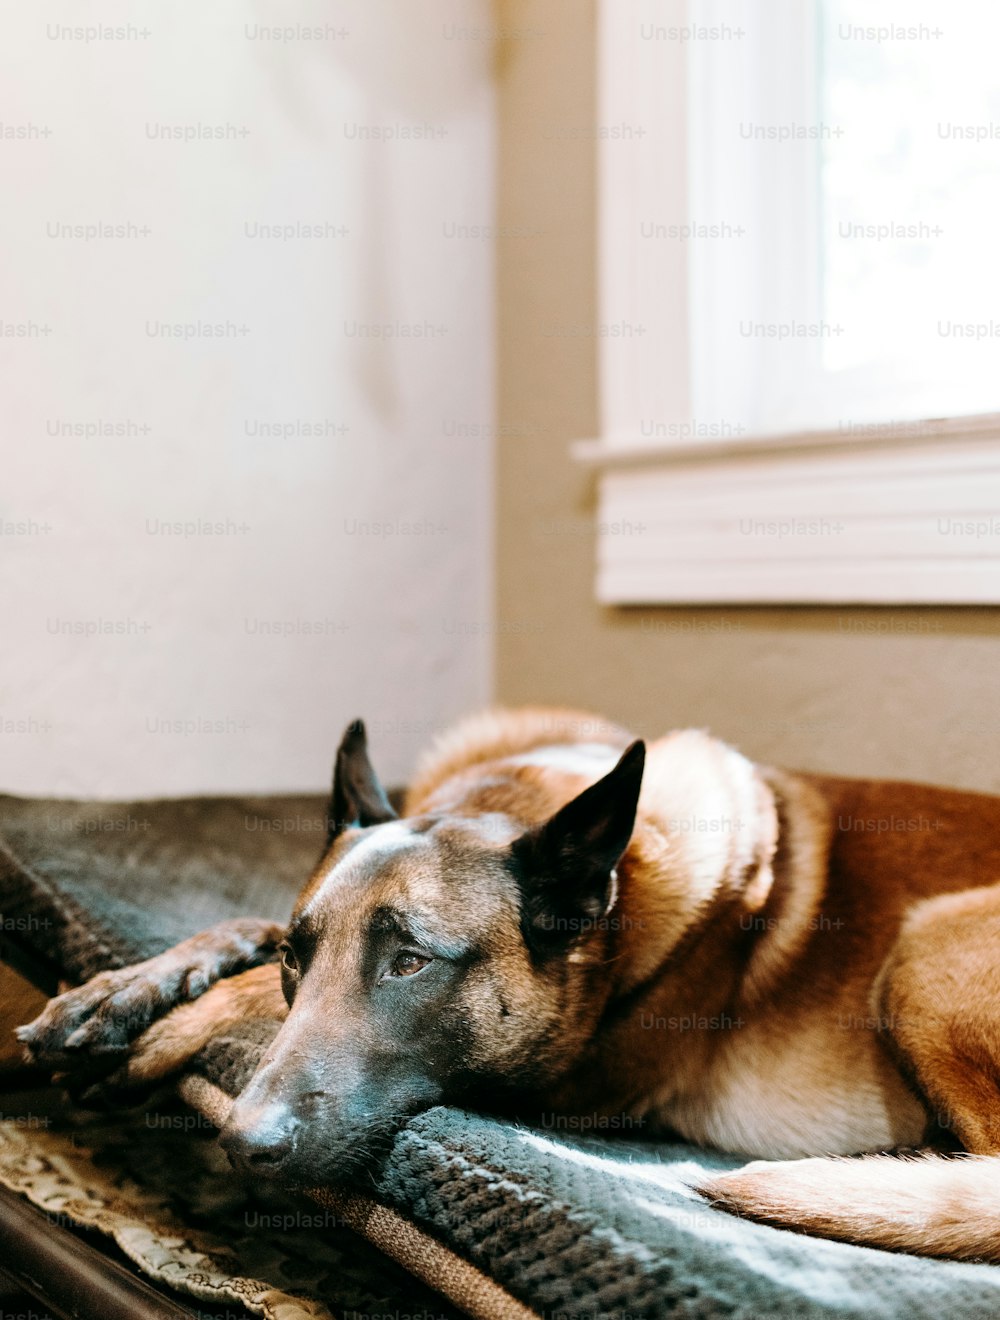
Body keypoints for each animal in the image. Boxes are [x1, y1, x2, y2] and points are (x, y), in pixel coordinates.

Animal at [17, 707, 1000, 1261]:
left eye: (410, 963)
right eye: (305, 957)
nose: (243, 1144)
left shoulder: (576, 1082)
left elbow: (245, 983)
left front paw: (162, 1027)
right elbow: (248, 934)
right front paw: (125, 988)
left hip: (927, 949)